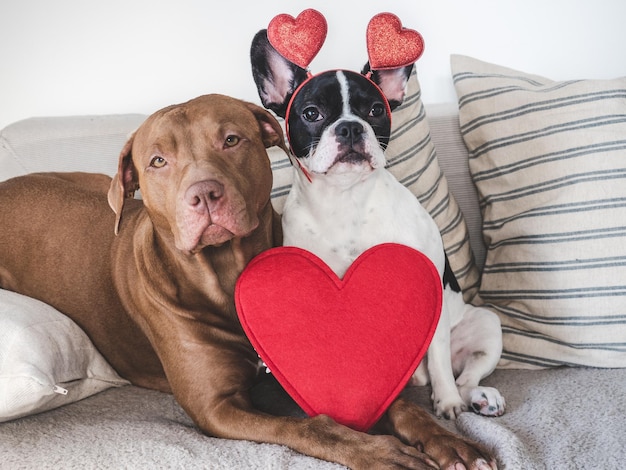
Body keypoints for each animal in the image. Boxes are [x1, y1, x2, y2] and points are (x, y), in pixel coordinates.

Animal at [0, 94, 492, 470]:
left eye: (231, 140)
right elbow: (313, 426)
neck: (227, 277)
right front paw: (381, 452)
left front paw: (449, 440)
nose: (204, 193)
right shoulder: (216, 408)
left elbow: (394, 401)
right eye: (158, 160)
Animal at [249, 30, 502, 418]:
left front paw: (447, 402)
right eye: (311, 113)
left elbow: (439, 357)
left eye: (375, 110)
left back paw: (477, 396)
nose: (351, 127)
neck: (346, 198)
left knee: (463, 372)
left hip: (486, 325)